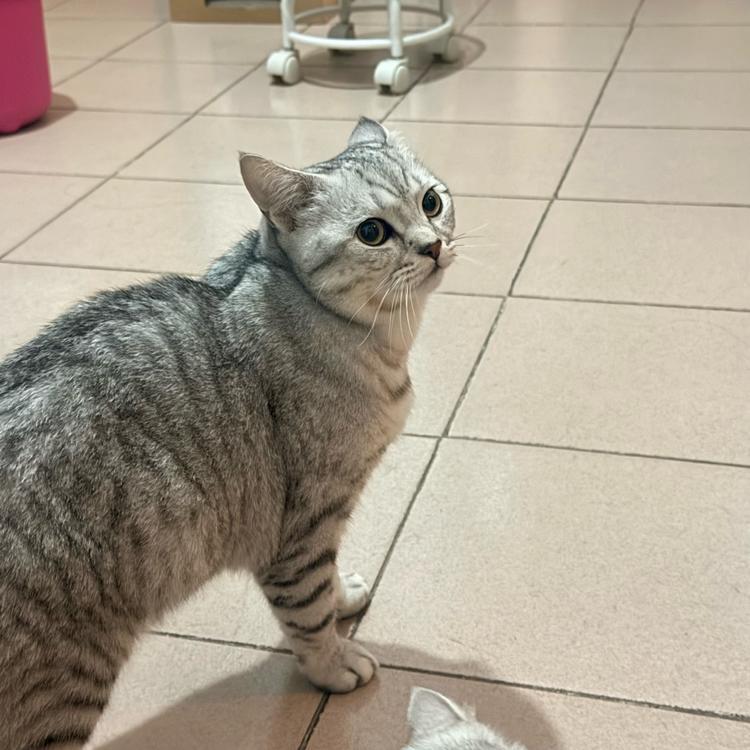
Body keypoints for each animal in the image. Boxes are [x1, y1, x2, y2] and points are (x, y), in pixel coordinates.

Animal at [0, 116, 455, 750]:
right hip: (67, 680)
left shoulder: (325, 519)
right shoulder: (303, 523)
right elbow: (307, 606)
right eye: (373, 232)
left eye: (431, 202)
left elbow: (326, 580)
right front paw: (331, 662)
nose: (432, 244)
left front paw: (343, 598)